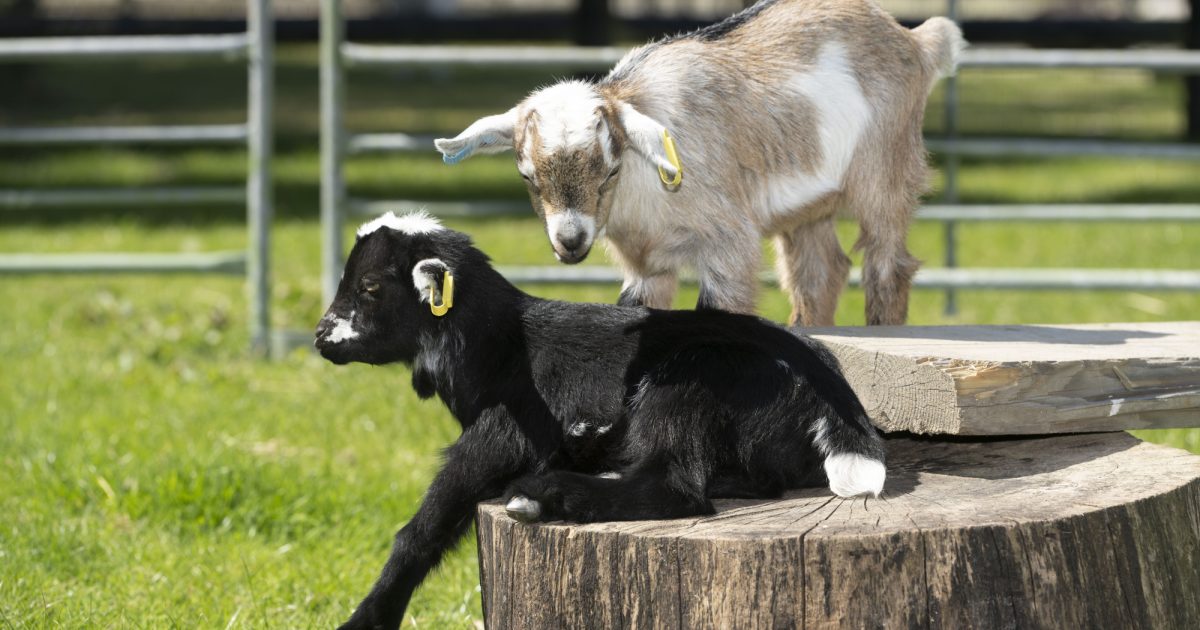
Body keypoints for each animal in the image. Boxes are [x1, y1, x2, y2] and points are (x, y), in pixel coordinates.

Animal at [315, 211, 885, 629]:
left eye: (370, 286)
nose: (321, 336)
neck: (501, 346)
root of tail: (831, 393)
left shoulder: (504, 433)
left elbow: (424, 527)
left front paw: (366, 620)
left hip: (685, 383)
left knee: (676, 488)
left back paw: (547, 495)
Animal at [435, 0, 964, 326]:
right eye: (527, 176)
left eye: (610, 170)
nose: (570, 241)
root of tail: (915, 40)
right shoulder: (645, 266)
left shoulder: (728, 241)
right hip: (809, 204)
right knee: (820, 271)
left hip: (887, 164)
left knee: (887, 264)